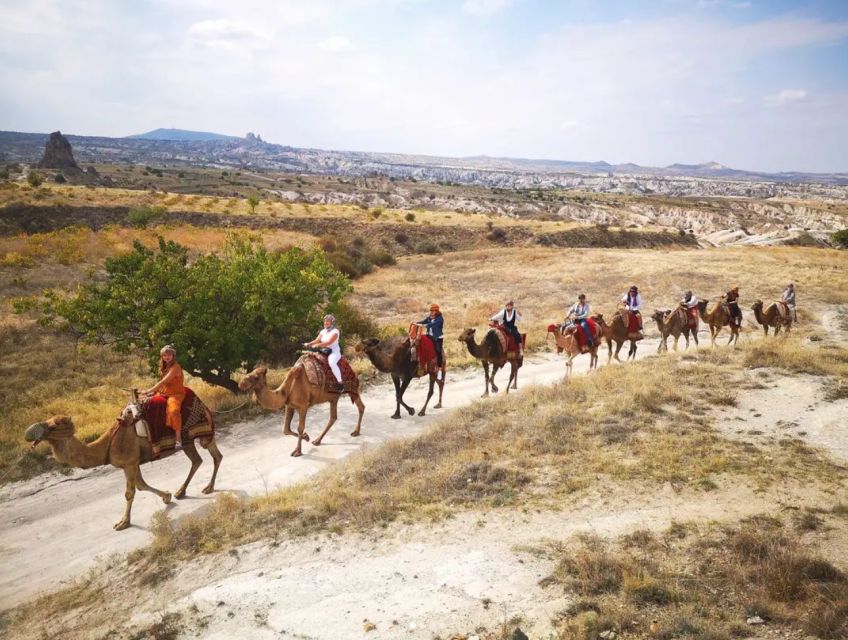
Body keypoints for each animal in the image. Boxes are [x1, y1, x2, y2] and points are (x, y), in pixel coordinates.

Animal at [24, 410, 222, 528]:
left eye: (53, 425)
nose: (30, 433)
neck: (107, 445)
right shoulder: (133, 463)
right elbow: (141, 485)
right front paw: (167, 496)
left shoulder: (128, 463)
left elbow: (130, 493)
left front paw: (123, 523)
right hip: (191, 439)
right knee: (202, 459)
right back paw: (184, 491)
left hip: (198, 434)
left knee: (209, 456)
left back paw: (206, 488)